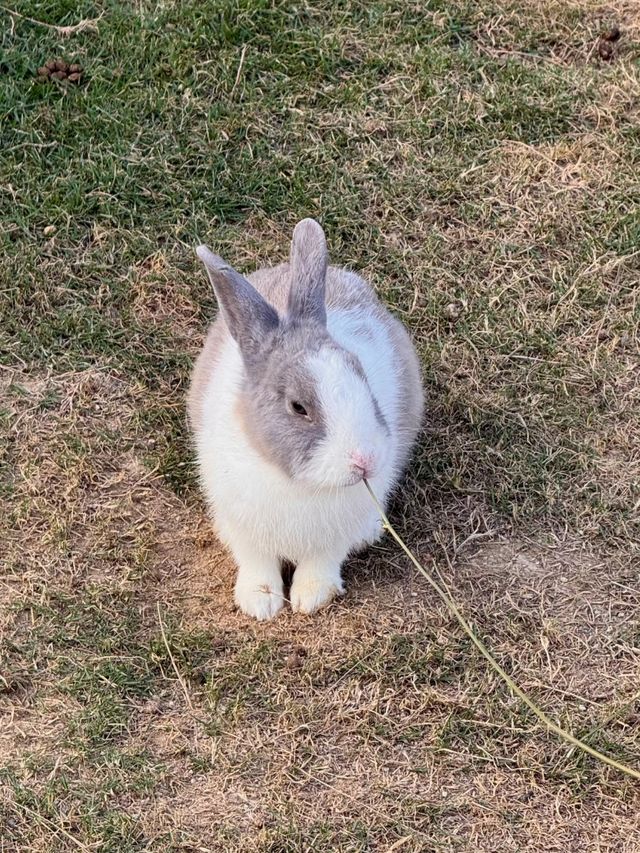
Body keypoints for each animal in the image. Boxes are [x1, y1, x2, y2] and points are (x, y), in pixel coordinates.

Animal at [188, 220, 422, 620]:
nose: (365, 461)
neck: (298, 482)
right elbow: (256, 561)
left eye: (361, 375)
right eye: (298, 407)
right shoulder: (242, 524)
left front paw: (310, 598)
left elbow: (323, 560)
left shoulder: (335, 535)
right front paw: (260, 602)